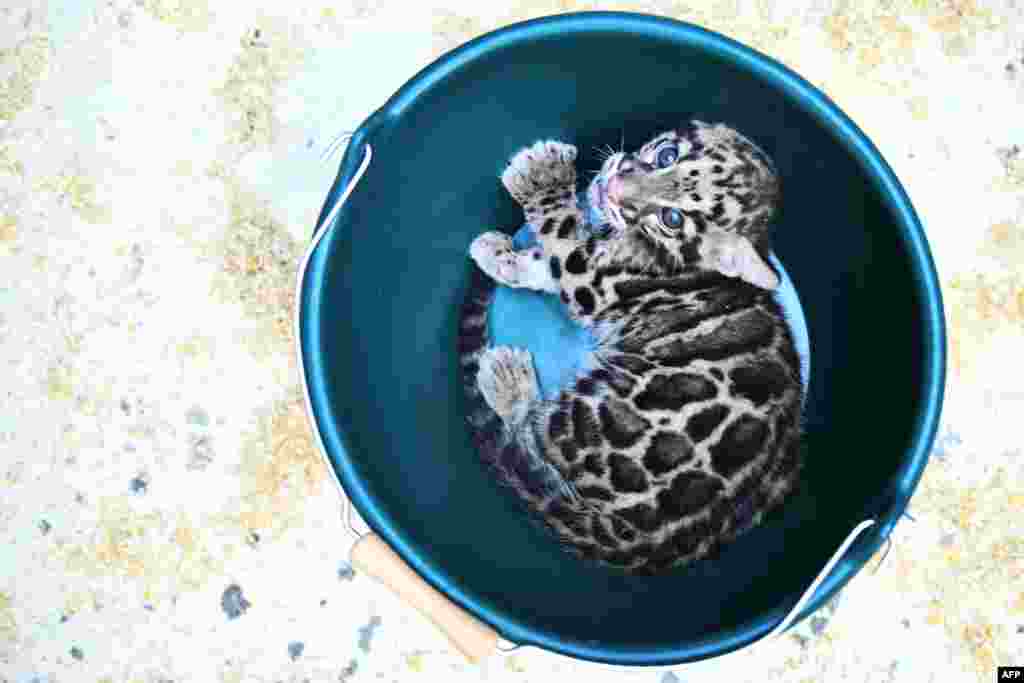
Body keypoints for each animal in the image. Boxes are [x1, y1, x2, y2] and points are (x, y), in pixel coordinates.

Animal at [458, 120, 803, 574]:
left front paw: (541, 177)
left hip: (597, 419)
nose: (615, 187)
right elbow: (544, 261)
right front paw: (499, 255)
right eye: (667, 155)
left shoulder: (591, 282)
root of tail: (636, 542)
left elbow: (560, 237)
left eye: (672, 218)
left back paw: (506, 376)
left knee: (531, 432)